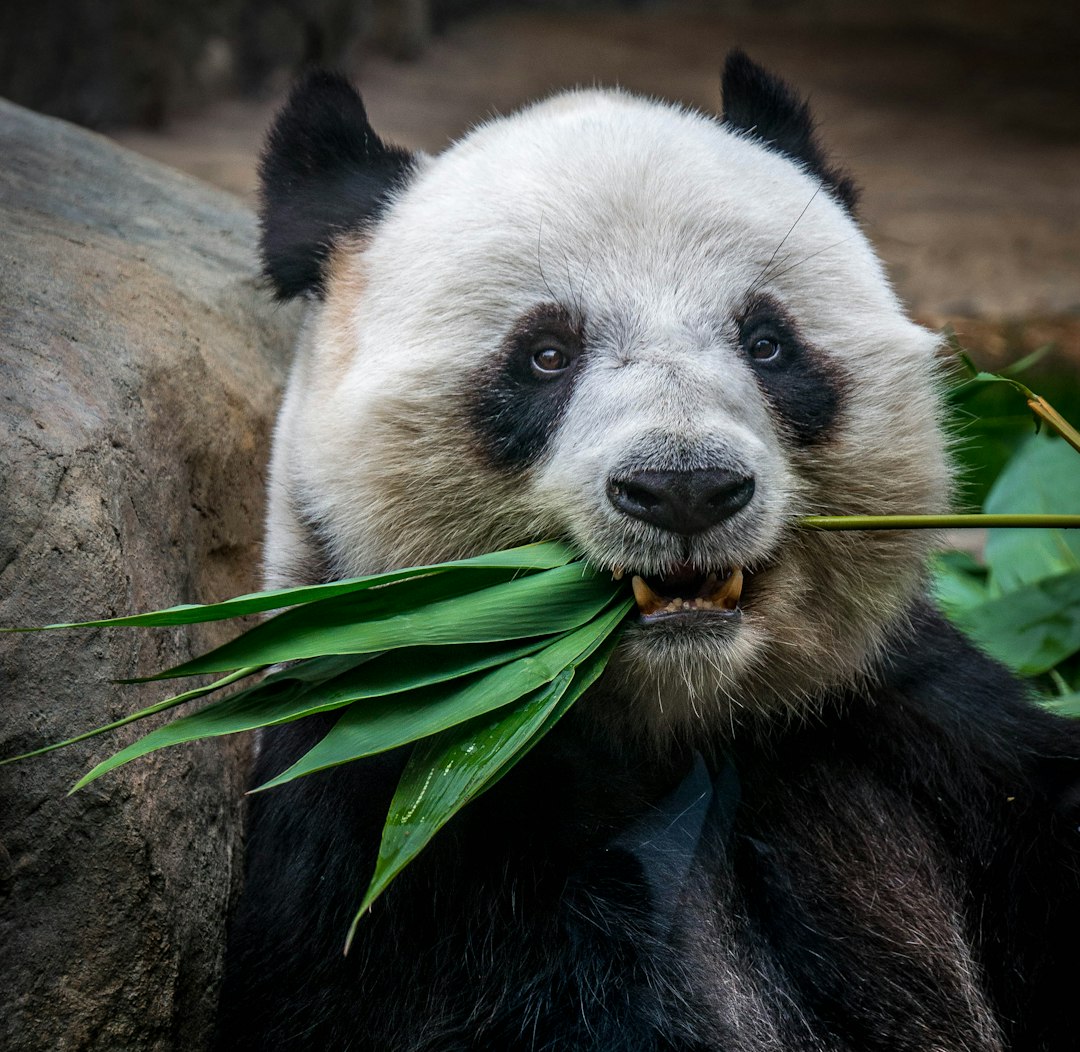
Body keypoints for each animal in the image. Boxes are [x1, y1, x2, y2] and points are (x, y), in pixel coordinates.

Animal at [214, 51, 1080, 1052]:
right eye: (546, 354)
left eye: (766, 341)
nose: (685, 488)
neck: (670, 717)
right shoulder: (400, 813)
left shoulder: (910, 725)